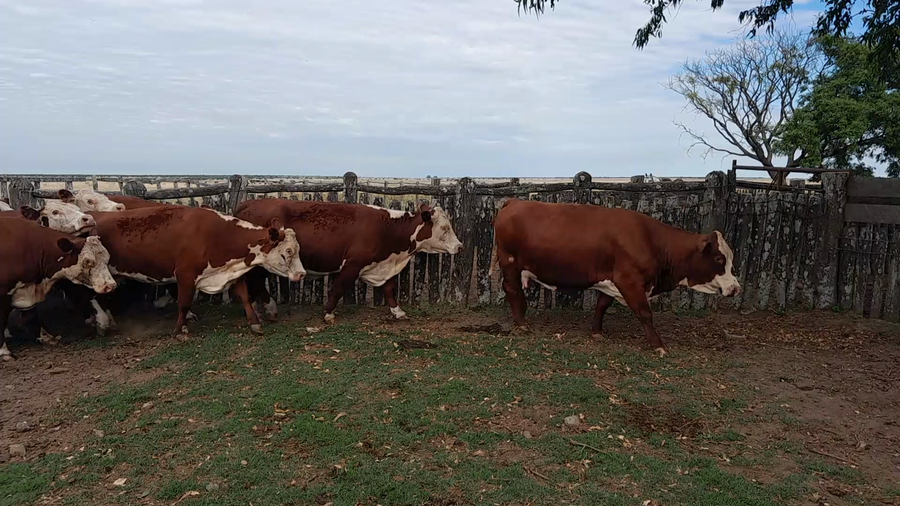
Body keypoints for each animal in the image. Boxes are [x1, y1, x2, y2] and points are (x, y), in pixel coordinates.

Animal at [1, 219, 117, 360]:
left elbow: (32, 316)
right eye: (87, 262)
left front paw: (44, 337)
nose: (110, 285)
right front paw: (4, 352)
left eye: (107, 258)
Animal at [78, 206, 305, 337]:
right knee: (92, 296)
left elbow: (245, 297)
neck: (216, 235)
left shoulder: (232, 271)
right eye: (287, 251)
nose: (301, 274)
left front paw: (255, 323)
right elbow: (184, 303)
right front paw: (179, 330)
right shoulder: (185, 275)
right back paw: (101, 322)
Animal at [233, 199, 462, 324]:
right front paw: (328, 313)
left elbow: (389, 289)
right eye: (444, 228)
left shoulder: (383, 263)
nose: (459, 246)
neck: (387, 228)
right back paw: (267, 308)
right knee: (255, 282)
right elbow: (338, 288)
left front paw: (398, 311)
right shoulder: (352, 265)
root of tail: (250, 202)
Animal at [492, 199, 741, 356]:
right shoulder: (629, 280)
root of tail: (515, 201)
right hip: (510, 262)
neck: (651, 240)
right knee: (512, 290)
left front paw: (597, 331)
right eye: (719, 258)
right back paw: (522, 324)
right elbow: (645, 313)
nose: (736, 288)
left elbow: (602, 305)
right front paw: (658, 345)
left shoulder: (612, 281)